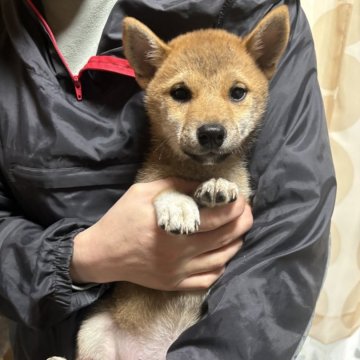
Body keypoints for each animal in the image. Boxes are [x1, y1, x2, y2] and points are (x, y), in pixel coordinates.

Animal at [71, 5, 292, 360]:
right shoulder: (146, 181)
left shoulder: (244, 195)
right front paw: (179, 206)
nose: (212, 132)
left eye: (237, 92)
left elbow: (231, 184)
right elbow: (166, 188)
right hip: (93, 328)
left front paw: (219, 186)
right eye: (180, 93)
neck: (196, 172)